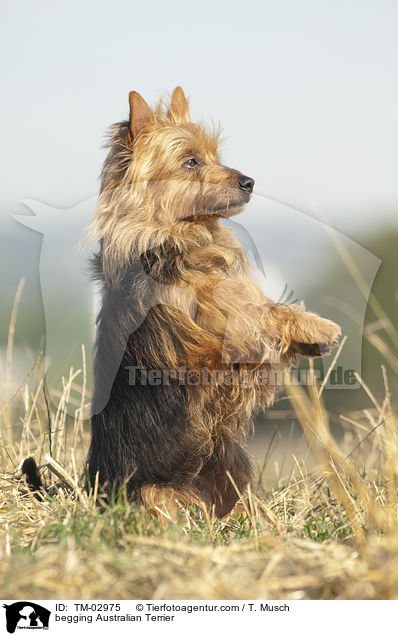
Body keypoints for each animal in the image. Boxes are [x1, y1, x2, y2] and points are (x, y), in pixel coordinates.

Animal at [86, 87, 338, 520]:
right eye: (191, 161)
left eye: (216, 156)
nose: (249, 181)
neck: (182, 236)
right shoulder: (205, 345)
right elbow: (254, 319)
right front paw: (312, 328)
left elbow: (264, 307)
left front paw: (311, 333)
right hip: (156, 491)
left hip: (228, 463)